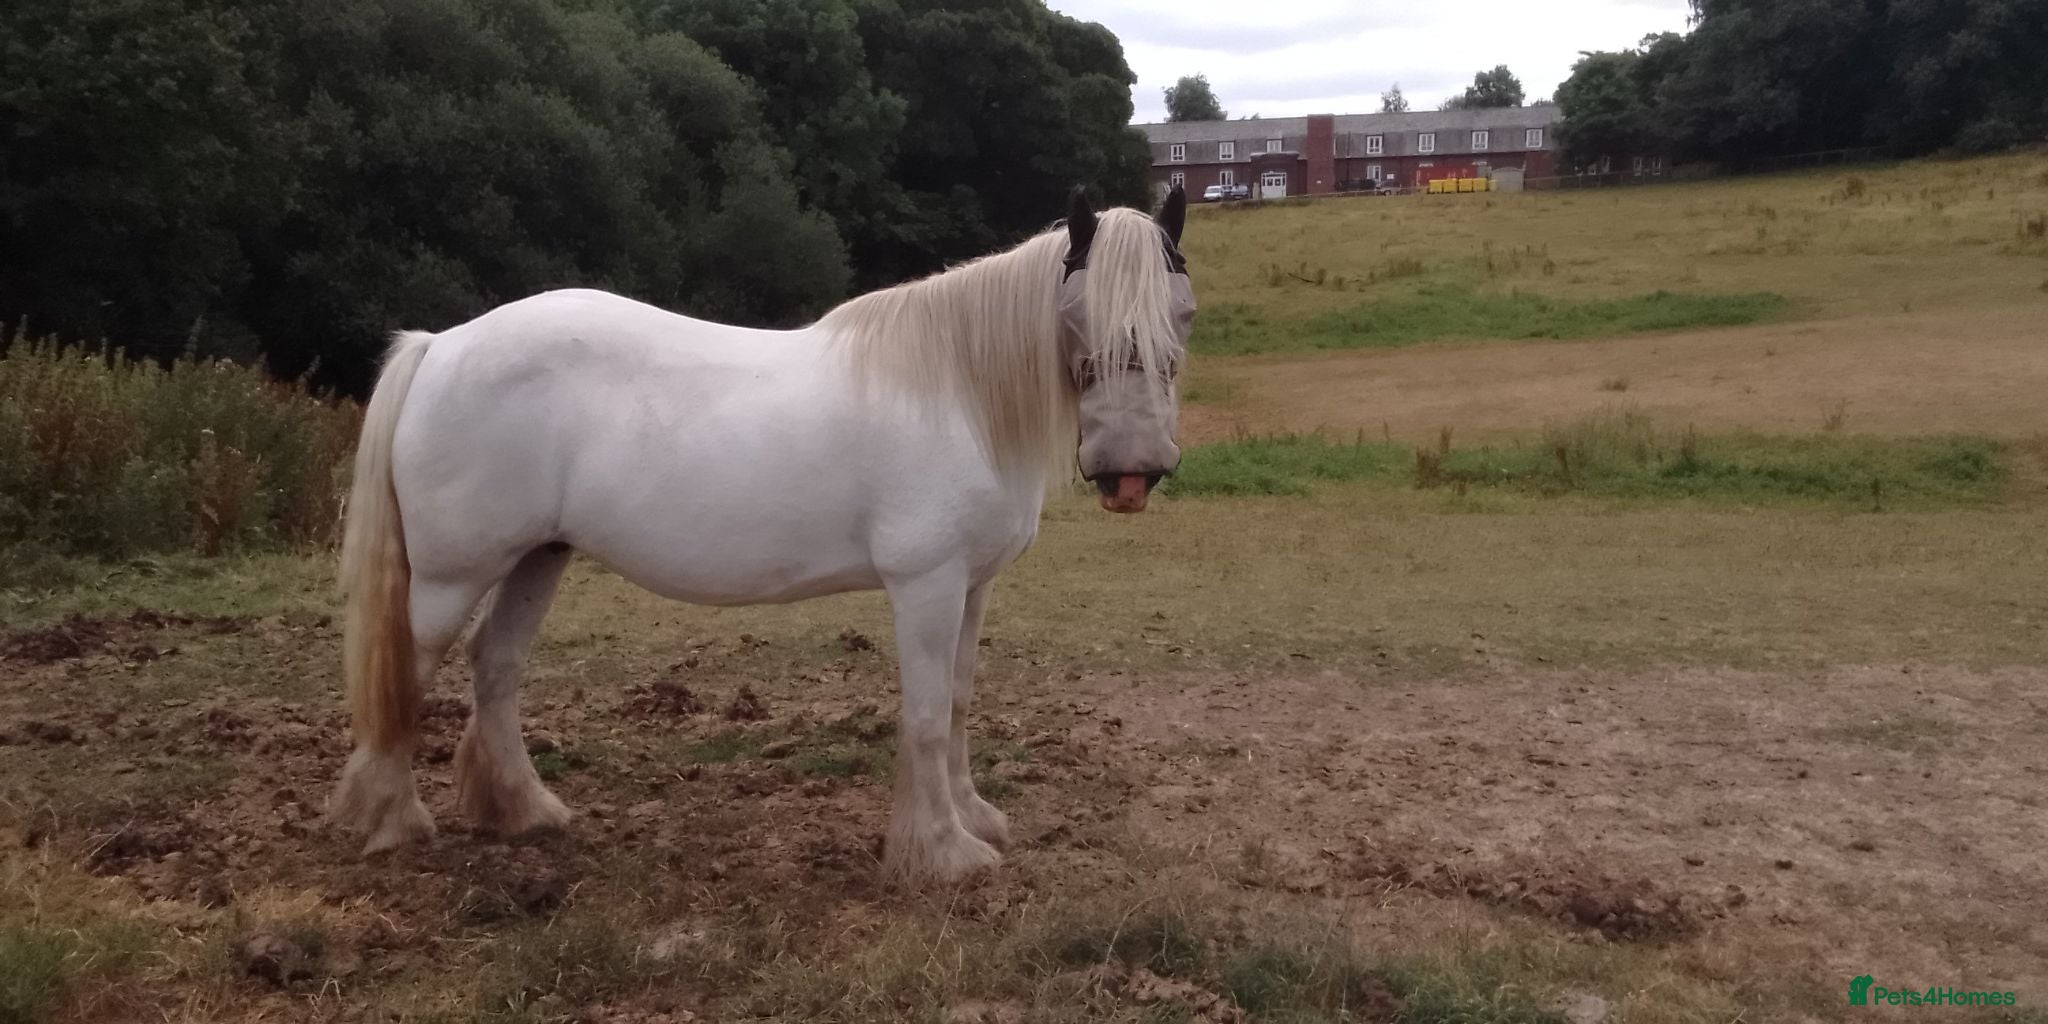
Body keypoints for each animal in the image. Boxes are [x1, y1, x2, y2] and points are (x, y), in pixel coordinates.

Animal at [329, 185, 1195, 883]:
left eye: (1182, 314)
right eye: (1080, 314)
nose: (1132, 472)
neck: (958, 390)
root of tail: (439, 346)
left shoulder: (971, 587)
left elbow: (954, 703)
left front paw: (973, 819)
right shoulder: (928, 584)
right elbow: (921, 715)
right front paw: (943, 854)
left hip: (538, 558)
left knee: (496, 665)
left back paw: (525, 811)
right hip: (451, 577)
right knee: (406, 675)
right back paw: (392, 822)